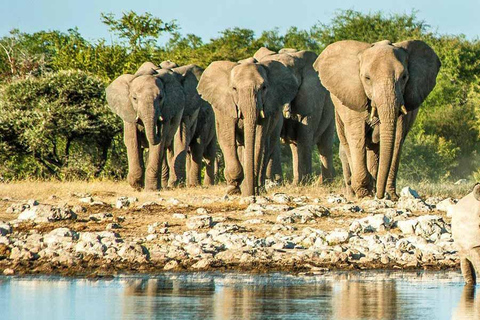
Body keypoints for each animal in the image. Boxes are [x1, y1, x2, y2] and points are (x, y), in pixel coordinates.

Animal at [105, 61, 186, 191]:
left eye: (161, 98)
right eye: (134, 98)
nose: (158, 126)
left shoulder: (166, 109)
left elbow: (157, 146)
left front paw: (150, 189)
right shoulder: (128, 111)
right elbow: (132, 141)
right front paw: (136, 186)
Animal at [197, 56, 298, 196]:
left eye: (264, 88)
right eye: (234, 88)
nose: (251, 194)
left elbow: (258, 141)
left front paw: (249, 188)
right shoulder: (225, 105)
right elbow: (227, 139)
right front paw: (233, 190)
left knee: (266, 148)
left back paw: (258, 187)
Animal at [253, 47, 336, 185]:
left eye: (292, 86)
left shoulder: (311, 95)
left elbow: (305, 132)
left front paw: (303, 184)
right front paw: (276, 182)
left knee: (324, 145)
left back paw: (325, 183)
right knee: (294, 146)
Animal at [314, 38, 440, 199]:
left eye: (404, 77)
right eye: (367, 78)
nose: (380, 196)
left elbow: (397, 137)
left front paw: (389, 195)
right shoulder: (354, 96)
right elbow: (356, 134)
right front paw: (364, 192)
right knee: (348, 142)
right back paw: (357, 191)